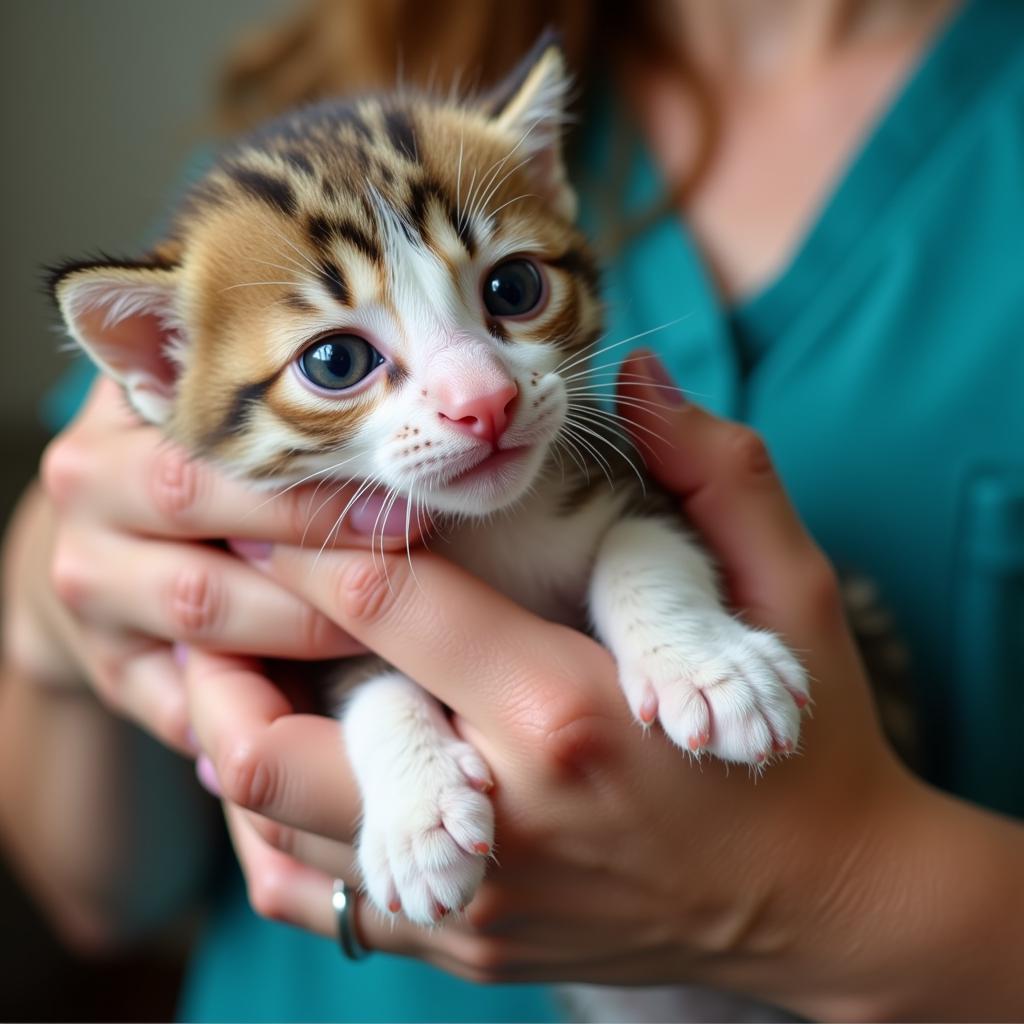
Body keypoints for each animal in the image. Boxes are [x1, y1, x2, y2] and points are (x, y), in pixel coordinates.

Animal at [51, 39, 806, 937]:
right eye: (335, 361)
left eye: (514, 288)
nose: (485, 403)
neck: (491, 527)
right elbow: (365, 679)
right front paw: (417, 817)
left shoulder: (635, 466)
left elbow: (644, 537)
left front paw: (711, 666)